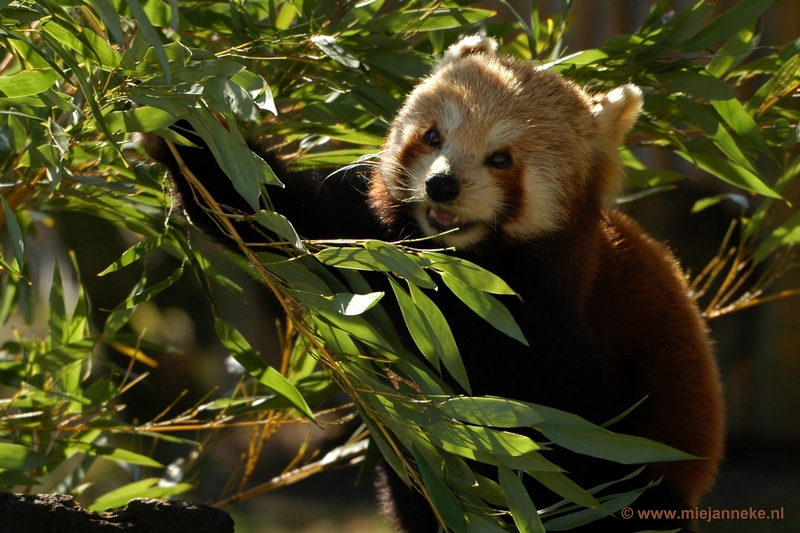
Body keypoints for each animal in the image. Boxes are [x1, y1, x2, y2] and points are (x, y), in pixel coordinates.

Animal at [142, 35, 724, 528]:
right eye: (432, 137)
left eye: (500, 158)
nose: (443, 185)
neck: (458, 267)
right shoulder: (366, 237)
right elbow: (269, 213)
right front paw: (179, 125)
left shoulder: (553, 327)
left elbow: (558, 435)